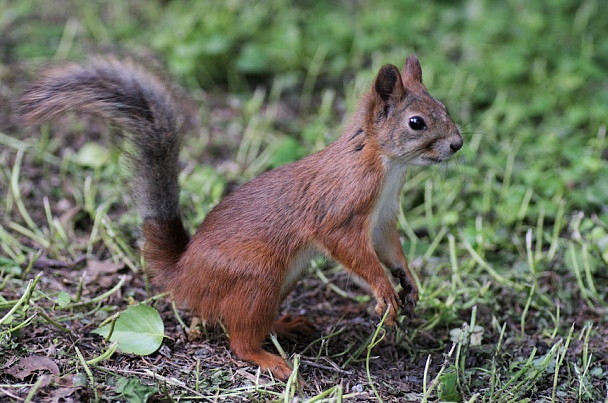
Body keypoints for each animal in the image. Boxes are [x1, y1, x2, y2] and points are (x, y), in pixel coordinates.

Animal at [21, 55, 464, 380]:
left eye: (444, 107)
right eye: (416, 123)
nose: (458, 144)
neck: (385, 164)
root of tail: (184, 274)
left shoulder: (384, 218)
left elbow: (391, 249)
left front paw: (408, 281)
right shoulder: (339, 212)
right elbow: (353, 252)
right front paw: (382, 290)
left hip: (282, 279)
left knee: (250, 324)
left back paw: (284, 326)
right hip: (256, 274)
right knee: (240, 341)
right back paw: (271, 360)